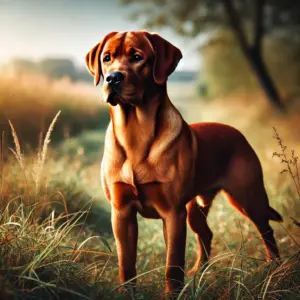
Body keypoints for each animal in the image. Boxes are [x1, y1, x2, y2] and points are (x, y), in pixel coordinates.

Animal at [85, 31, 284, 296]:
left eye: (137, 57)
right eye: (106, 58)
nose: (112, 78)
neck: (135, 133)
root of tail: (237, 133)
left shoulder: (173, 214)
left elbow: (172, 265)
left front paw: (172, 294)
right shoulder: (122, 212)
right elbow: (126, 265)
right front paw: (127, 294)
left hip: (248, 197)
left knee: (267, 230)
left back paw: (274, 270)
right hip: (195, 209)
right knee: (207, 234)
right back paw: (198, 273)